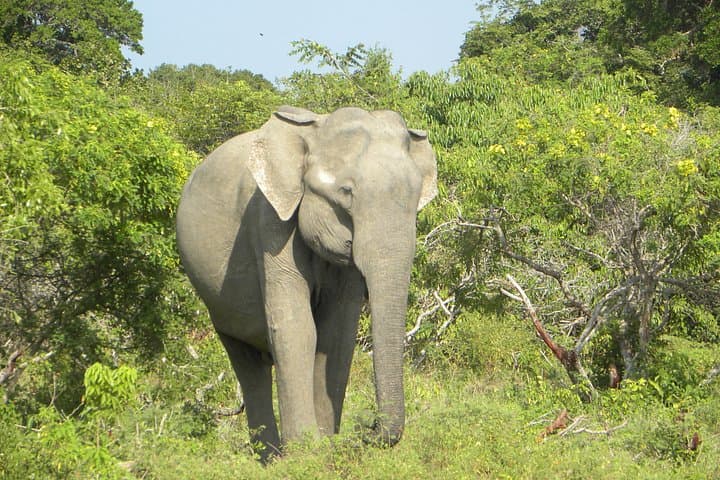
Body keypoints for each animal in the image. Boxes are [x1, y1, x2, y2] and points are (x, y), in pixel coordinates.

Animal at [176, 105, 437, 461]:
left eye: (416, 197)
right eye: (346, 192)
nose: (366, 428)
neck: (314, 130)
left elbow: (336, 334)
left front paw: (326, 445)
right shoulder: (268, 221)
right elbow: (296, 328)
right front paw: (306, 451)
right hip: (214, 301)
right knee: (246, 363)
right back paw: (271, 460)